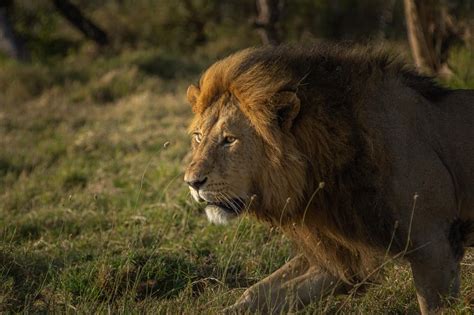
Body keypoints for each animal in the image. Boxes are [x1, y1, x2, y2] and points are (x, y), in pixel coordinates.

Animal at [184, 45, 474, 315]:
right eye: (198, 136)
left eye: (229, 140)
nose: (192, 182)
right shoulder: (343, 250)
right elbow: (259, 292)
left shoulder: (434, 246)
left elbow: (434, 307)